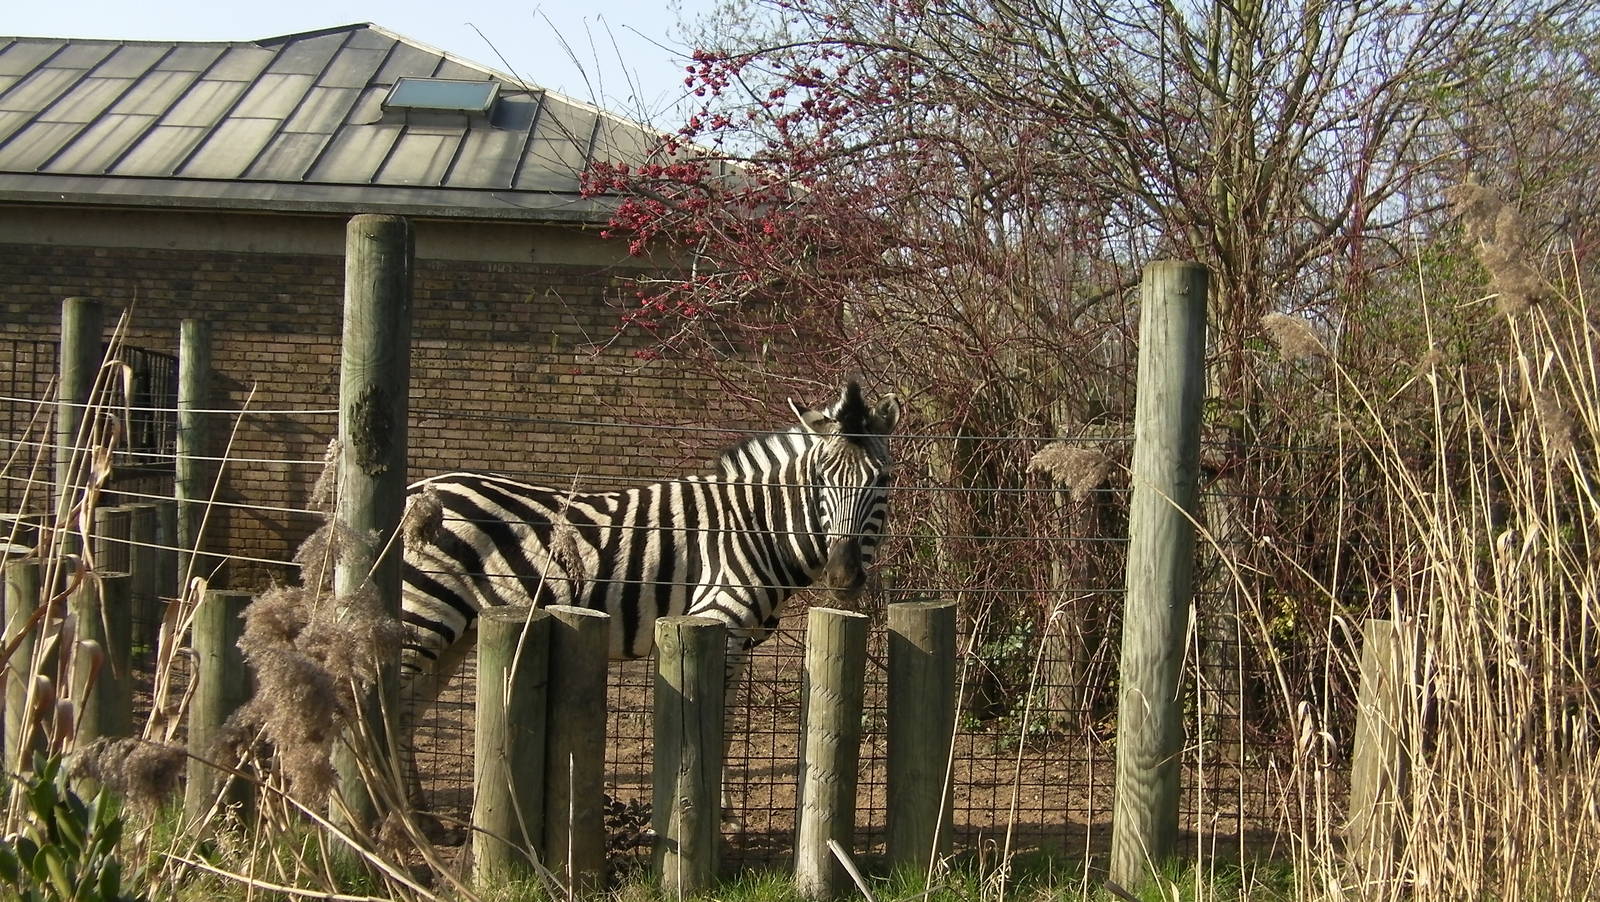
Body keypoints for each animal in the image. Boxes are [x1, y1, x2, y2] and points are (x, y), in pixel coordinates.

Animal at [397, 381, 900, 807]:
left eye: (882, 480)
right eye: (821, 479)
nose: (843, 577)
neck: (756, 528)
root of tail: (416, 489)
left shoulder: (734, 636)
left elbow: (724, 718)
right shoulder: (719, 618)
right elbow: (717, 717)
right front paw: (716, 807)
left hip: (458, 629)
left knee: (407, 707)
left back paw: (417, 817)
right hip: (423, 612)